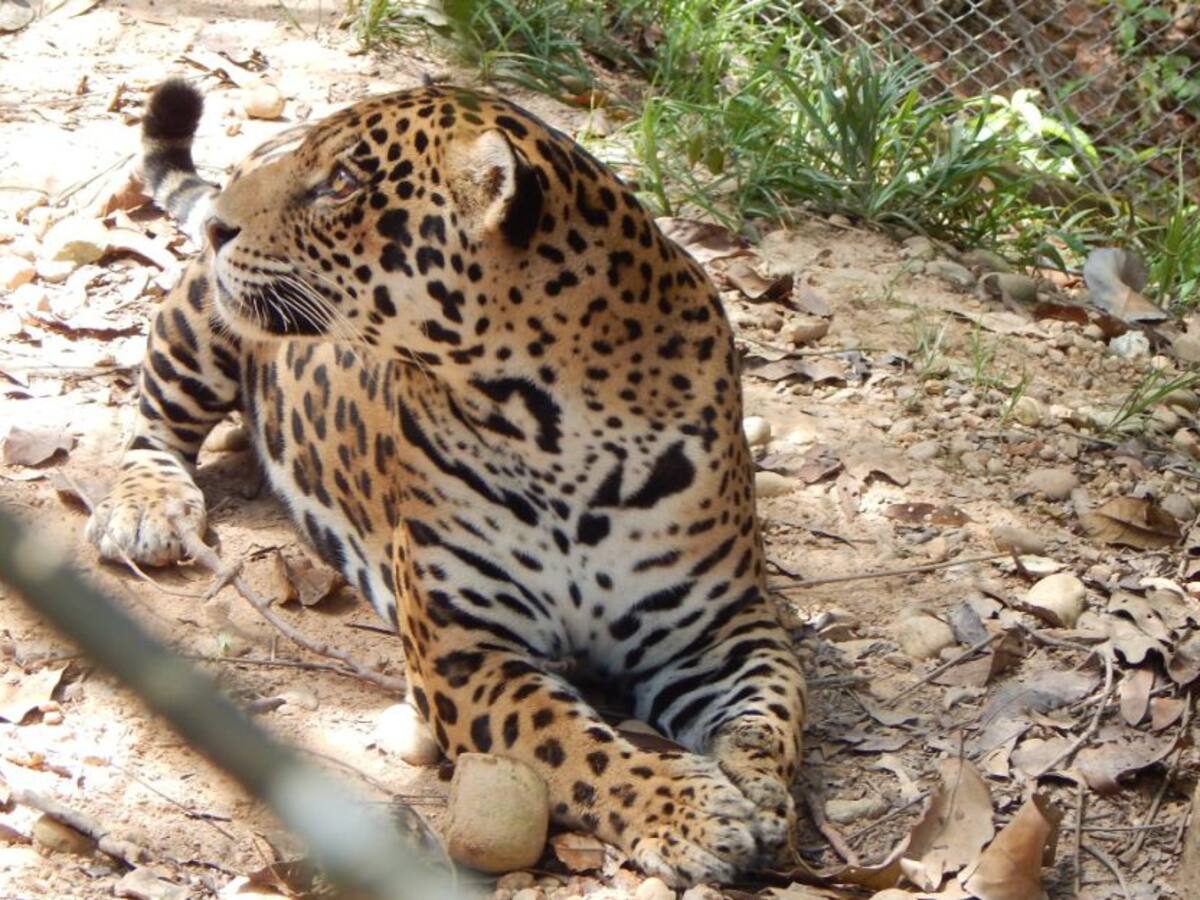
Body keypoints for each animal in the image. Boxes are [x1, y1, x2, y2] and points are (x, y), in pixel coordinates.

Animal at [86, 78, 808, 887]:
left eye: (343, 182)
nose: (217, 227)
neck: (556, 424)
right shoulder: (464, 653)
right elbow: (579, 745)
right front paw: (687, 811)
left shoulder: (722, 629)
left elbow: (768, 717)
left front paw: (755, 791)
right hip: (198, 326)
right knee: (151, 419)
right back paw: (147, 508)